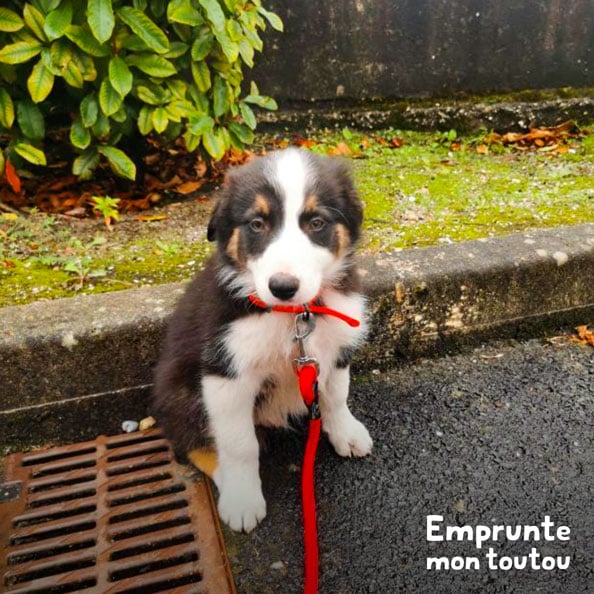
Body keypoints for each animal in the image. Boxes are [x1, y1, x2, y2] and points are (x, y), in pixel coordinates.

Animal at [155, 147, 372, 532]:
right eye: (257, 224)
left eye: (316, 223)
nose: (282, 286)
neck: (292, 315)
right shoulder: (225, 372)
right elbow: (239, 444)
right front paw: (243, 498)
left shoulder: (336, 346)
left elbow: (336, 395)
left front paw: (345, 432)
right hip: (180, 393)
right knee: (191, 444)